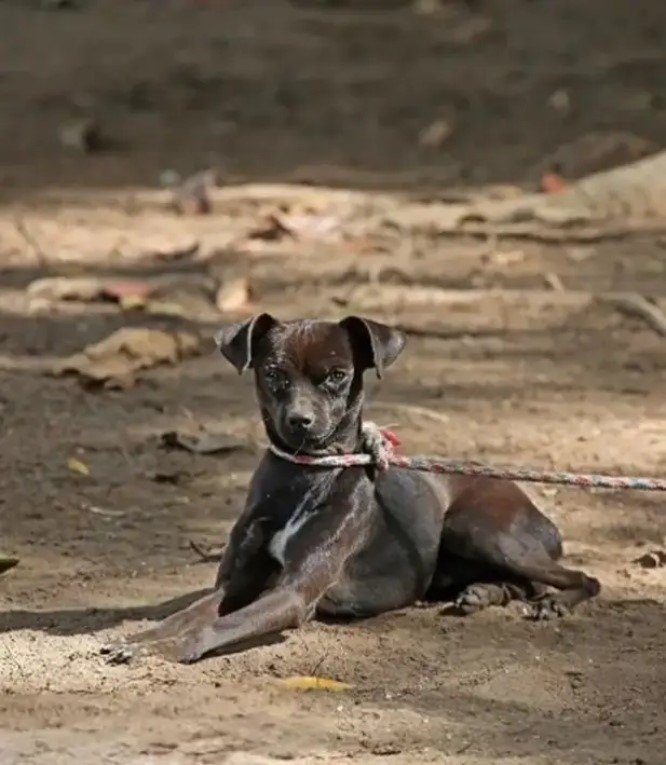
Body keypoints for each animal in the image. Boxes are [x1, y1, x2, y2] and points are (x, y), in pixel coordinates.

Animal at [105, 312, 600, 664]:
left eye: (337, 375)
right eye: (273, 374)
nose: (300, 421)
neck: (306, 475)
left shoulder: (293, 594)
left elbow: (215, 625)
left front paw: (162, 650)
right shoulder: (237, 583)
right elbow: (188, 613)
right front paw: (146, 636)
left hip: (480, 531)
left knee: (582, 578)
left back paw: (554, 603)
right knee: (523, 584)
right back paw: (483, 593)